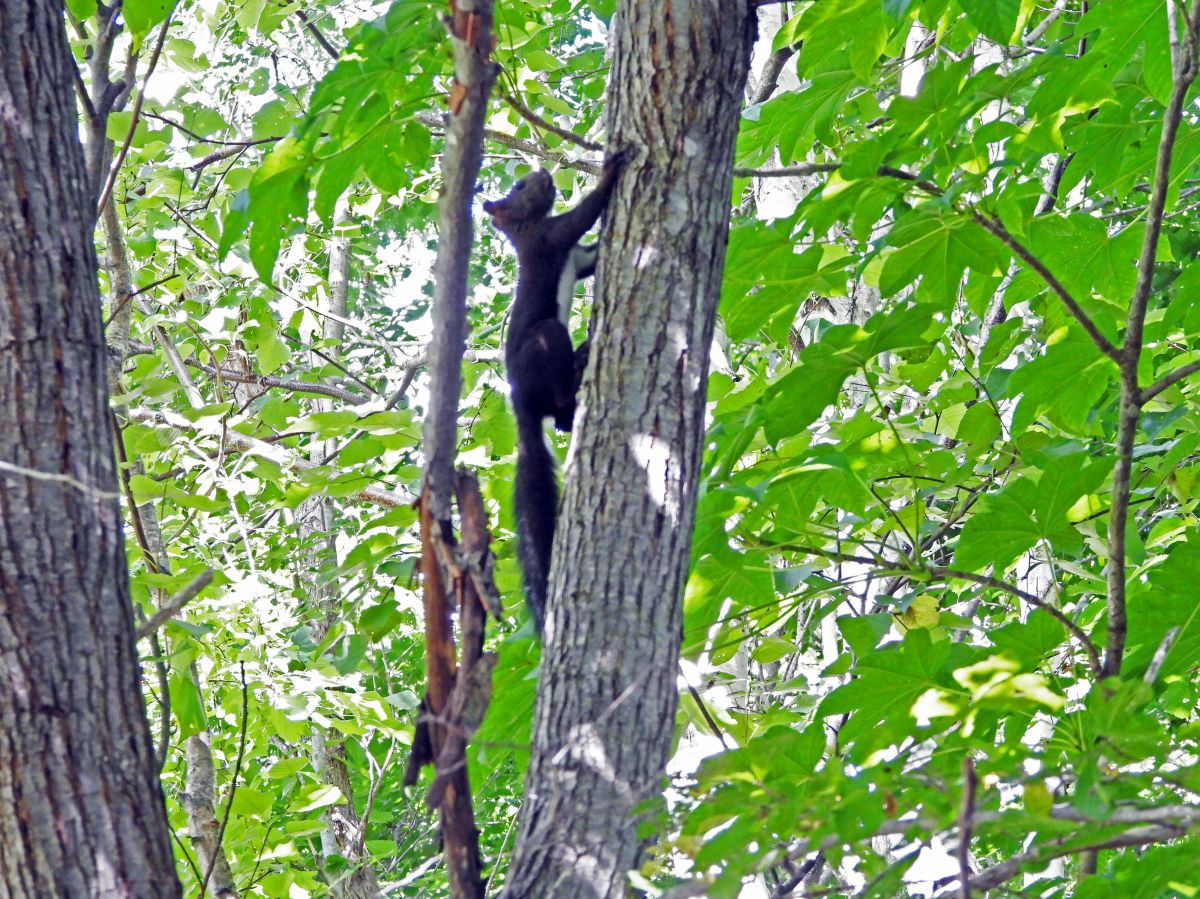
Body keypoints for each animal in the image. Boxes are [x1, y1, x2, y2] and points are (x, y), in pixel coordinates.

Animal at [482, 150, 626, 632]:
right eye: (520, 188)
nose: (544, 173)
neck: (524, 229)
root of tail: (521, 403)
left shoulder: (575, 256)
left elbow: (592, 259)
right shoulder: (552, 237)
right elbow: (584, 215)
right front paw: (610, 169)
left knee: (561, 418)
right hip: (546, 343)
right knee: (559, 392)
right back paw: (576, 370)